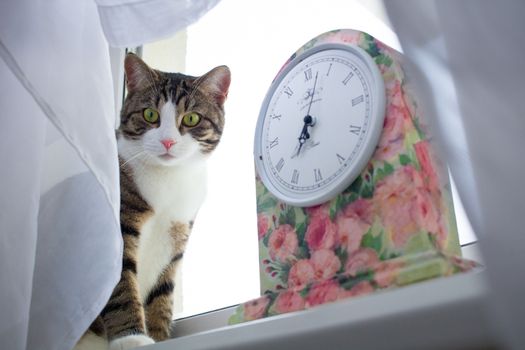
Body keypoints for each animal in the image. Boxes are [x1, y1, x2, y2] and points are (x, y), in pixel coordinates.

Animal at [75, 52, 229, 350]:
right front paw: (132, 338)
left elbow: (162, 293)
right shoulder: (119, 225)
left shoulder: (178, 230)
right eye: (150, 114)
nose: (168, 141)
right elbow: (121, 283)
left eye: (191, 118)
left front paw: (158, 337)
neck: (167, 180)